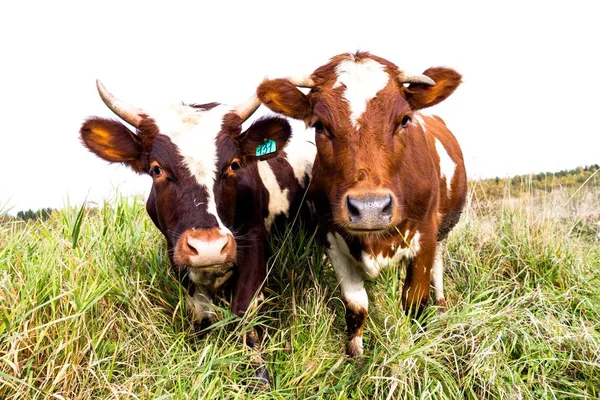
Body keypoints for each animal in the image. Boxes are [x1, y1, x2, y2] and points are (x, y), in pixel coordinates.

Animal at [79, 80, 316, 384]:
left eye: (234, 165)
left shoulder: (254, 241)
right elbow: (201, 312)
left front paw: (257, 375)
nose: (208, 248)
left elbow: (244, 309)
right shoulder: (175, 251)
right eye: (157, 169)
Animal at [255, 50, 466, 356]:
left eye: (404, 120)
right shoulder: (330, 238)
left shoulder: (425, 237)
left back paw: (441, 305)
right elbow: (356, 307)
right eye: (320, 125)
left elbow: (414, 303)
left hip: (442, 232)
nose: (370, 209)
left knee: (438, 266)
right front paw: (354, 357)